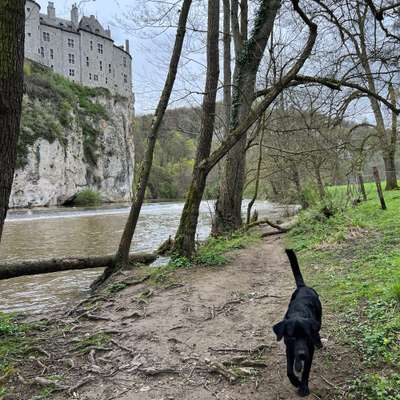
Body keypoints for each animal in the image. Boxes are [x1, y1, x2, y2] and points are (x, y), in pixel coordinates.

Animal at [272, 250, 322, 396]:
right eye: (292, 337)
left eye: (306, 336)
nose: (301, 354)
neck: (298, 314)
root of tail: (303, 286)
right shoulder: (289, 348)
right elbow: (289, 371)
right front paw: (295, 382)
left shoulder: (309, 350)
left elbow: (306, 371)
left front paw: (303, 387)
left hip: (319, 319)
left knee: (318, 330)